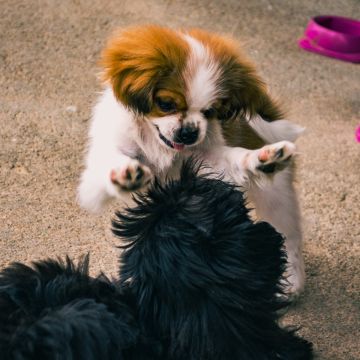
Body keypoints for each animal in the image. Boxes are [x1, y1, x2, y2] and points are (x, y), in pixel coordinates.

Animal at [78, 24, 304, 296]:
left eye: (210, 112)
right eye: (166, 104)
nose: (189, 133)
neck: (158, 145)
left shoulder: (208, 162)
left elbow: (238, 159)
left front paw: (262, 159)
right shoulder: (95, 182)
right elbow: (111, 166)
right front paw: (126, 174)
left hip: (276, 198)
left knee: (289, 236)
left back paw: (292, 281)